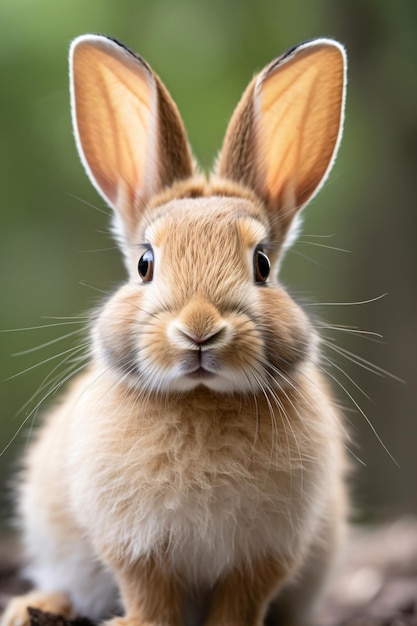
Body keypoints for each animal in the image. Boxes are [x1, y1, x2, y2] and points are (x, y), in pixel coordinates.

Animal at [1, 35, 350, 624]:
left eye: (262, 265)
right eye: (145, 263)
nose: (200, 330)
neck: (201, 398)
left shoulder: (266, 553)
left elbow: (238, 602)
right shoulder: (136, 546)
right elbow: (151, 595)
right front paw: (133, 623)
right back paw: (33, 606)